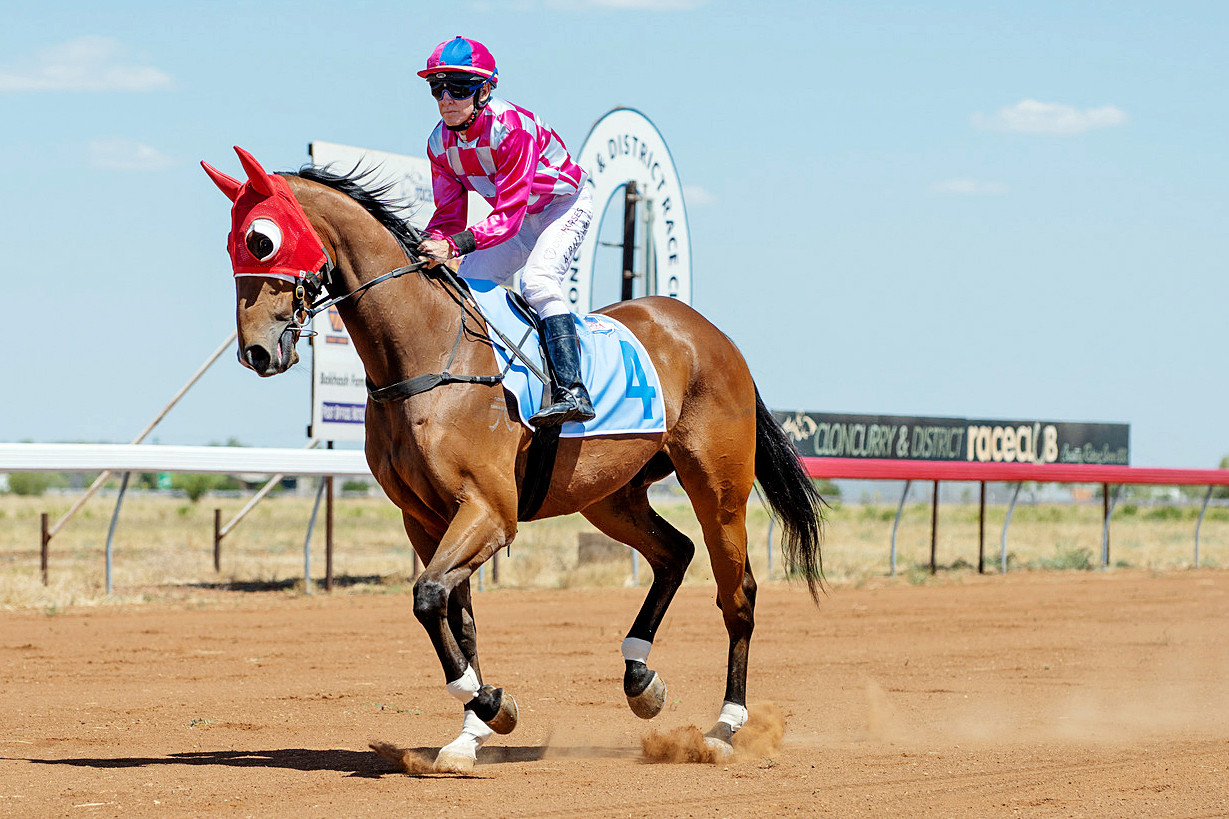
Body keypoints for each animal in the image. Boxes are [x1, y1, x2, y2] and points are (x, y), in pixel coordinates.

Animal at [204, 148, 825, 772]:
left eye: (260, 240)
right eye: (230, 244)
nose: (255, 351)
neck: (427, 355)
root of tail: (711, 334)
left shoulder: (490, 510)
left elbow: (428, 597)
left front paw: (490, 705)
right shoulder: (425, 519)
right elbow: (456, 618)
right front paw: (470, 733)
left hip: (718, 487)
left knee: (737, 593)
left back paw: (723, 727)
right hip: (610, 495)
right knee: (674, 553)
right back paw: (640, 680)